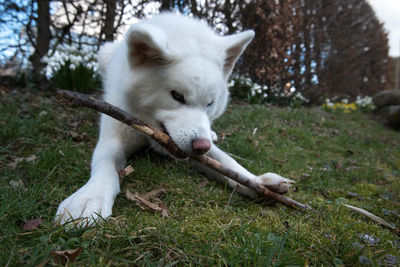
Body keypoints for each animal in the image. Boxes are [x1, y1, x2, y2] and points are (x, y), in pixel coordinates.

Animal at [55, 12, 294, 226]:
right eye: (177, 96)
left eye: (210, 103)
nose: (201, 146)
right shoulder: (114, 135)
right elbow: (104, 164)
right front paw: (89, 197)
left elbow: (225, 161)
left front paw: (257, 182)